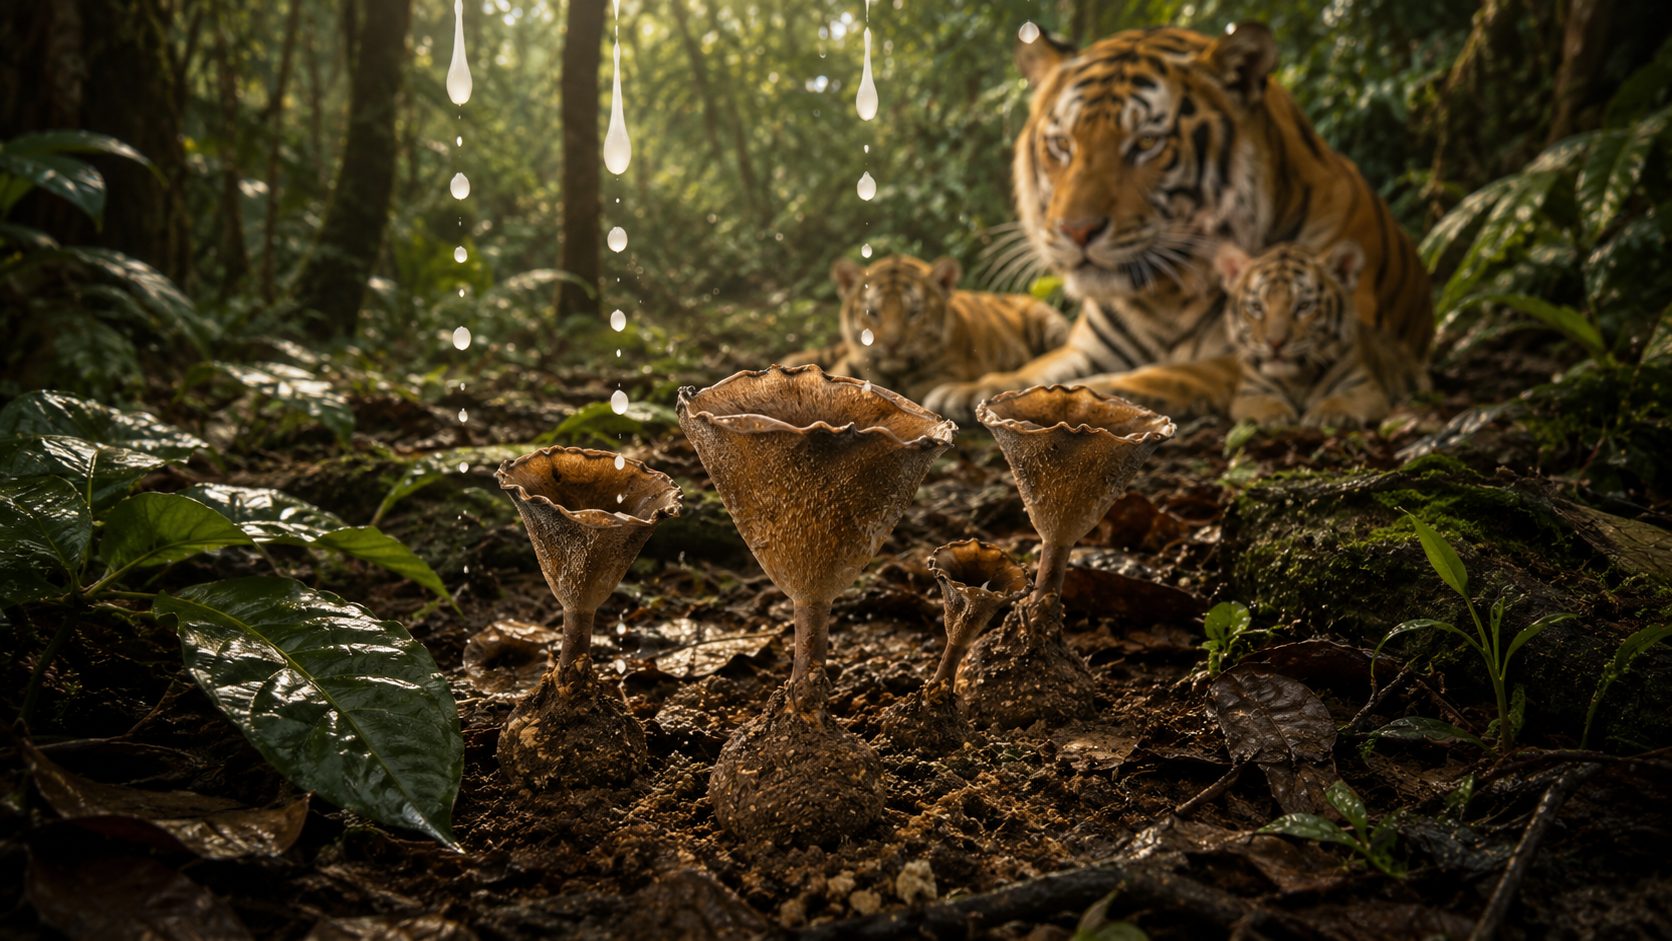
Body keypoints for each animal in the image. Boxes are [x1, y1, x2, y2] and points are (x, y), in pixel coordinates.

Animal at [1216, 240, 1420, 425]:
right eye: (1256, 307)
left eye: (1304, 306)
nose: (1275, 343)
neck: (1296, 380)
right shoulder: (1249, 392)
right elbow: (1264, 402)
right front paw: (1275, 416)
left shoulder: (1364, 387)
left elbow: (1343, 398)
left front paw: (1327, 415)